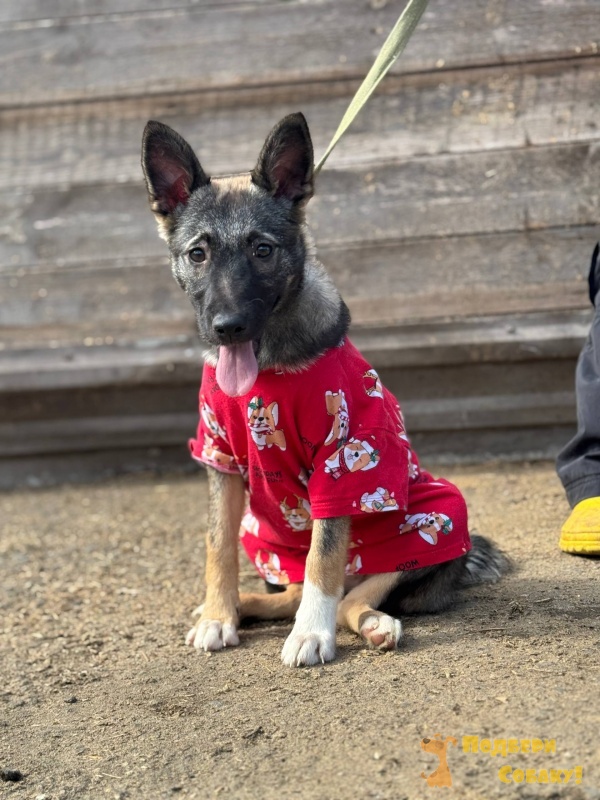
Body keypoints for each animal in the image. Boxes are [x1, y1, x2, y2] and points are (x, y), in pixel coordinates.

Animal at [141, 112, 509, 667]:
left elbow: (325, 554)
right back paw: (240, 606)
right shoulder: (219, 457)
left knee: (349, 593)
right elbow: (216, 544)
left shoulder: (342, 461)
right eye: (198, 254)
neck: (266, 365)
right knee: (292, 590)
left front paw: (311, 635)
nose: (227, 327)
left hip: (440, 516)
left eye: (263, 250)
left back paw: (370, 623)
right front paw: (217, 616)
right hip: (262, 535)